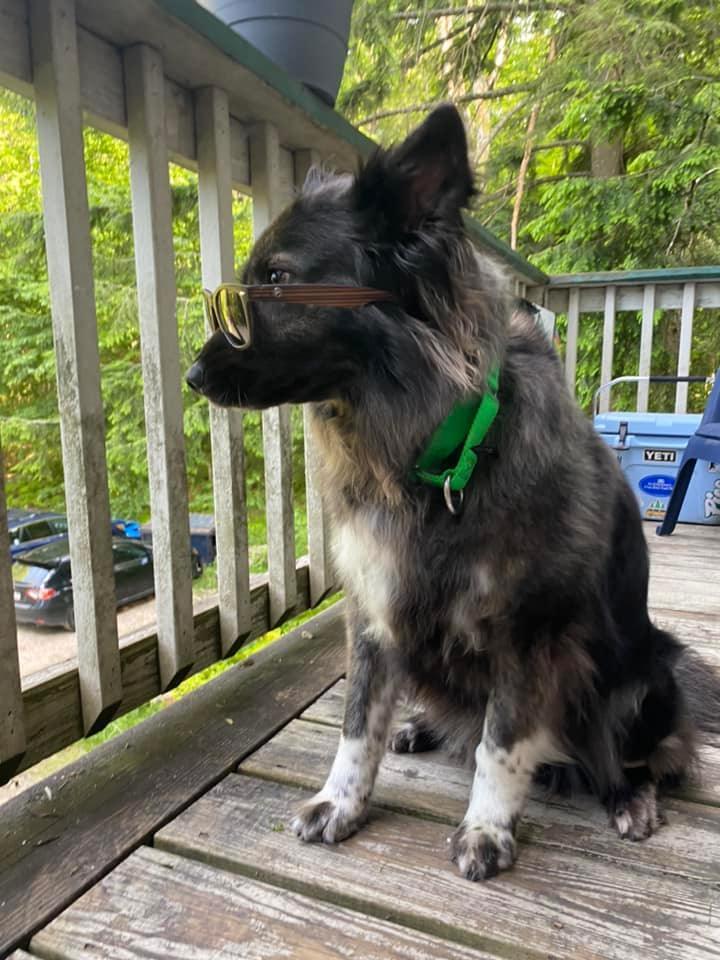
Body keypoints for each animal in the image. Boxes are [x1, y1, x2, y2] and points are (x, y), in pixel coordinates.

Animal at [190, 107, 720, 884]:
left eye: (280, 281)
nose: (193, 376)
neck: (438, 453)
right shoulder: (375, 611)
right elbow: (357, 724)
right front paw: (341, 803)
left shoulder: (529, 632)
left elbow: (503, 743)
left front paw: (487, 828)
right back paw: (421, 727)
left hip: (647, 674)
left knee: (639, 755)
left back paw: (630, 797)